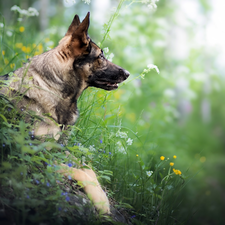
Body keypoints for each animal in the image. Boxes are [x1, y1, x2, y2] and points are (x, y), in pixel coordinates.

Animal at [0, 12, 129, 214]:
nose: (128, 73)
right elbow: (76, 170)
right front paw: (100, 201)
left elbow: (88, 169)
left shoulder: (60, 147)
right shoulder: (36, 149)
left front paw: (101, 195)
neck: (52, 87)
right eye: (101, 56)